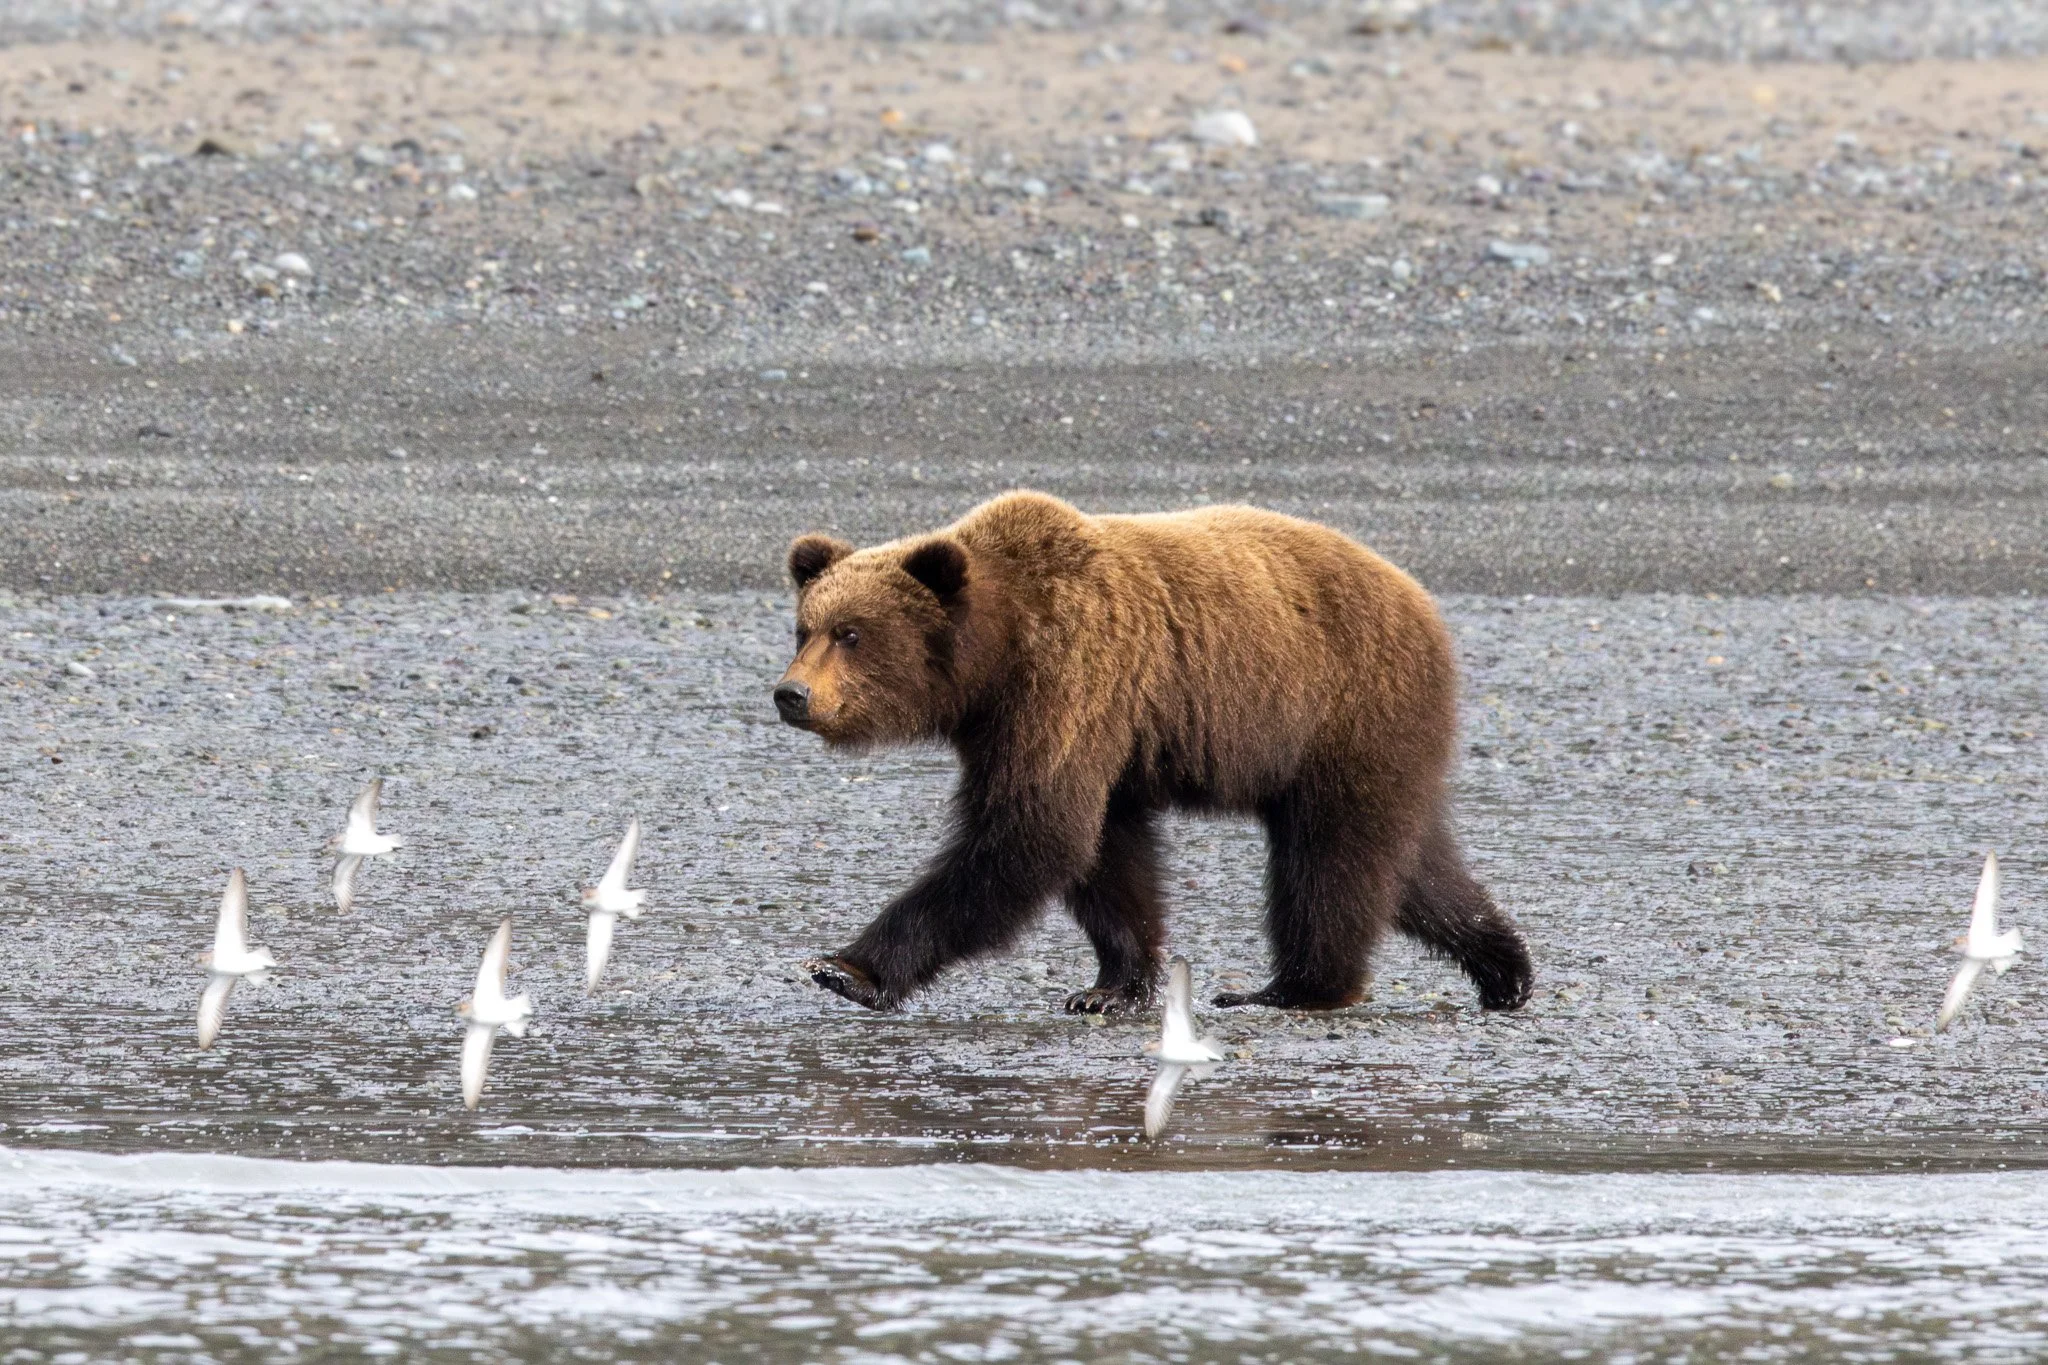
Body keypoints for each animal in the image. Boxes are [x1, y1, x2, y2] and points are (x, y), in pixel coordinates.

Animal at [772, 490, 1533, 1016]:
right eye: (804, 628)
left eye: (851, 633)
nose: (791, 693)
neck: (997, 654)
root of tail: (1421, 597)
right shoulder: (1070, 729)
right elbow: (1105, 855)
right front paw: (1111, 986)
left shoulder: (1071, 681)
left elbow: (1030, 836)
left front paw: (846, 968)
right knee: (1408, 863)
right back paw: (1504, 967)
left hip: (1345, 708)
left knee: (1332, 859)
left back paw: (1290, 987)